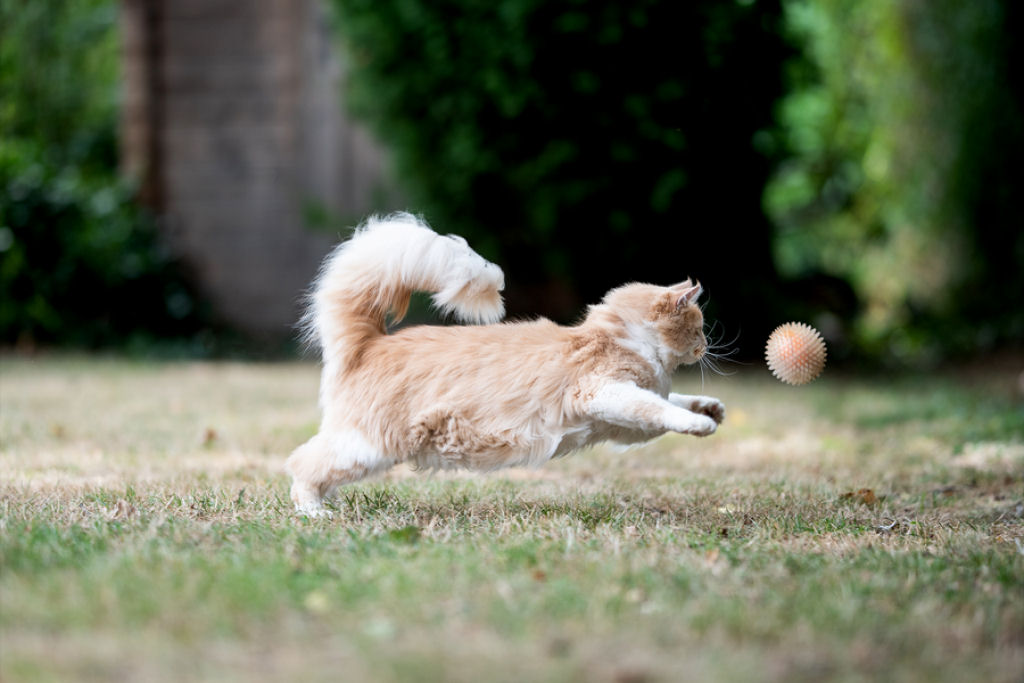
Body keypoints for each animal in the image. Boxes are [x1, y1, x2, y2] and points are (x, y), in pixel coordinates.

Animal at [284, 210, 724, 516]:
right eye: (699, 327)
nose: (706, 345)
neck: (623, 337)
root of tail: (371, 343)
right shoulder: (604, 392)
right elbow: (661, 409)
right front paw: (701, 424)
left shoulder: (623, 424)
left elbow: (670, 401)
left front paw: (710, 408)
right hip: (364, 447)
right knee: (302, 465)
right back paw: (315, 513)